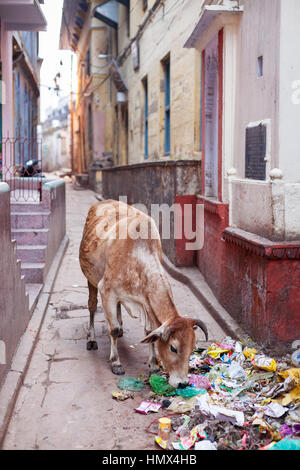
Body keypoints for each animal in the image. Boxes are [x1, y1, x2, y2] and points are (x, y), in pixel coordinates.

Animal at [78, 200, 207, 388]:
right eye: (173, 348)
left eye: (192, 348)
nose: (183, 383)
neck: (137, 256)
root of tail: (101, 202)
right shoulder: (106, 291)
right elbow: (112, 329)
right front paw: (116, 363)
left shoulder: (145, 301)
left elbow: (149, 331)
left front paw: (153, 364)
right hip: (91, 280)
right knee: (92, 308)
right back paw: (91, 338)